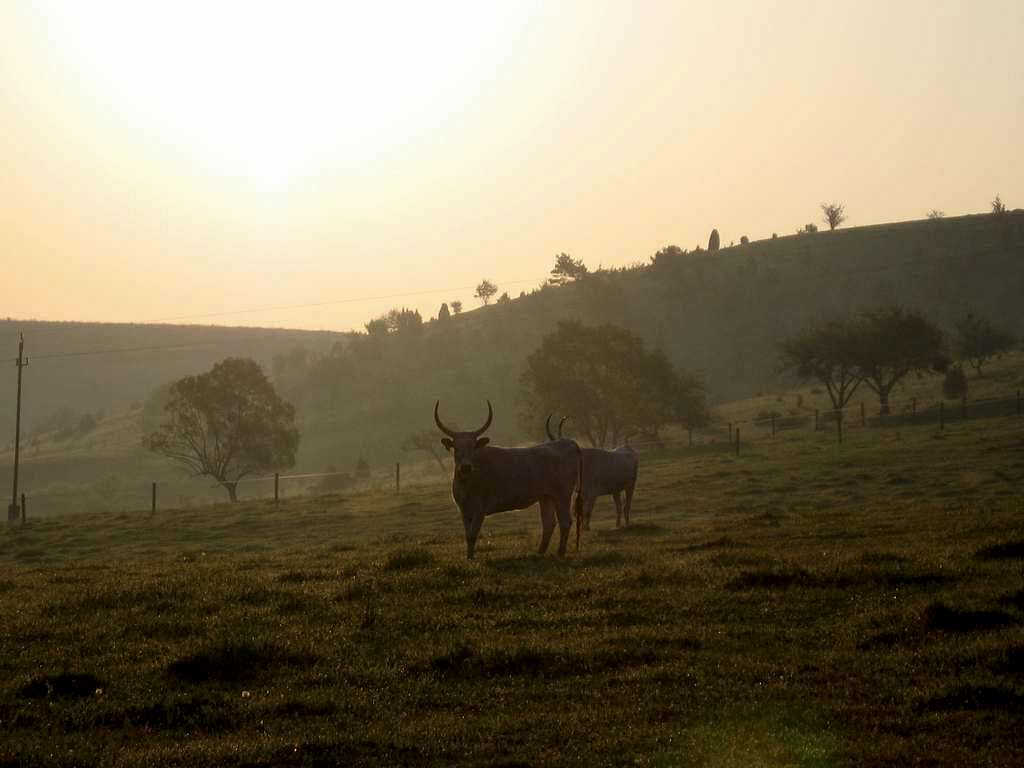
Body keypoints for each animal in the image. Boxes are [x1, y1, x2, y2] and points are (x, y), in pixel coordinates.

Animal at [436, 403, 585, 561]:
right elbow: (467, 534)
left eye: (473, 447)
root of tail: (568, 442)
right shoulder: (464, 510)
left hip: (562, 495)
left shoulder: (480, 509)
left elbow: (472, 534)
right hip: (546, 497)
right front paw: (469, 557)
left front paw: (471, 559)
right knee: (549, 523)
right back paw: (539, 553)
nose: (465, 467)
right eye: (456, 448)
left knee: (565, 522)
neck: (467, 483)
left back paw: (560, 553)